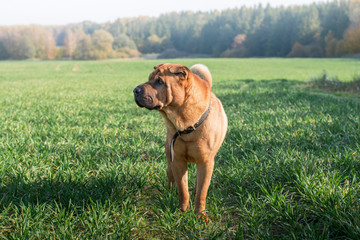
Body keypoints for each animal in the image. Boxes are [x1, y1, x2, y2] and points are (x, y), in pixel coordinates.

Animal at [134, 62, 226, 217]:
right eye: (149, 78)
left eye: (160, 81)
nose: (135, 90)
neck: (185, 123)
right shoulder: (177, 160)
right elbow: (183, 190)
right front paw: (182, 212)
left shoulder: (206, 162)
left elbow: (201, 192)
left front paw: (200, 215)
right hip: (169, 156)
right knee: (171, 177)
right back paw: (170, 192)